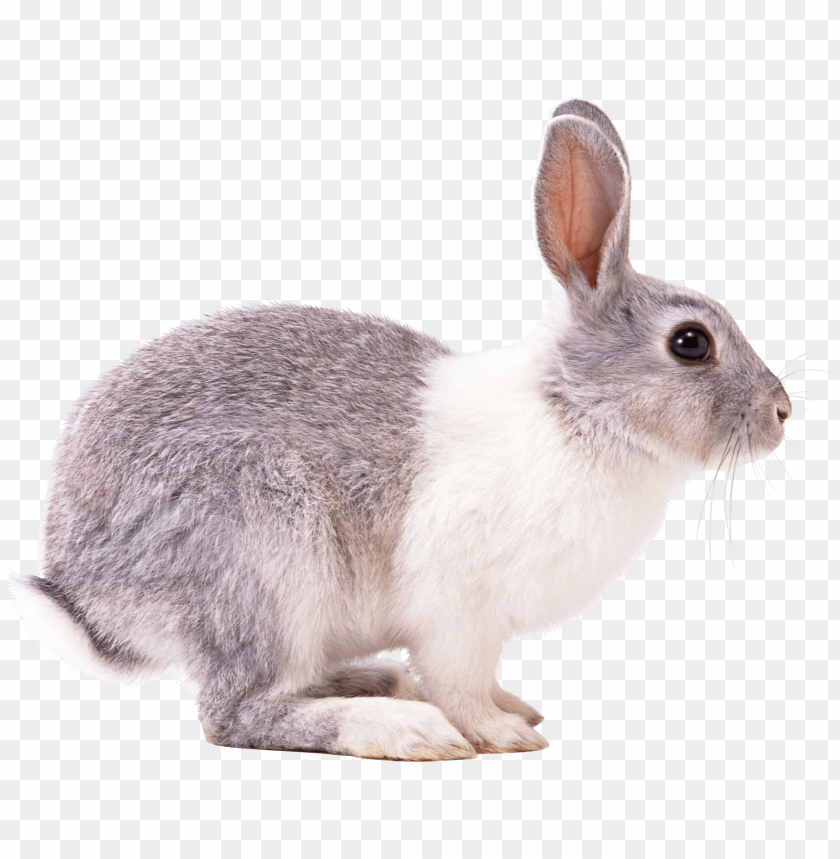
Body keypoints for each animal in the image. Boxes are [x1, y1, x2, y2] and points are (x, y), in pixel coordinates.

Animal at [11, 101, 788, 760]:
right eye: (691, 343)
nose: (783, 413)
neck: (578, 409)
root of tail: (90, 594)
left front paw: (515, 706)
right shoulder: (457, 611)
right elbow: (461, 681)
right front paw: (499, 732)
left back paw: (385, 685)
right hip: (265, 555)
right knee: (237, 711)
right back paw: (402, 726)